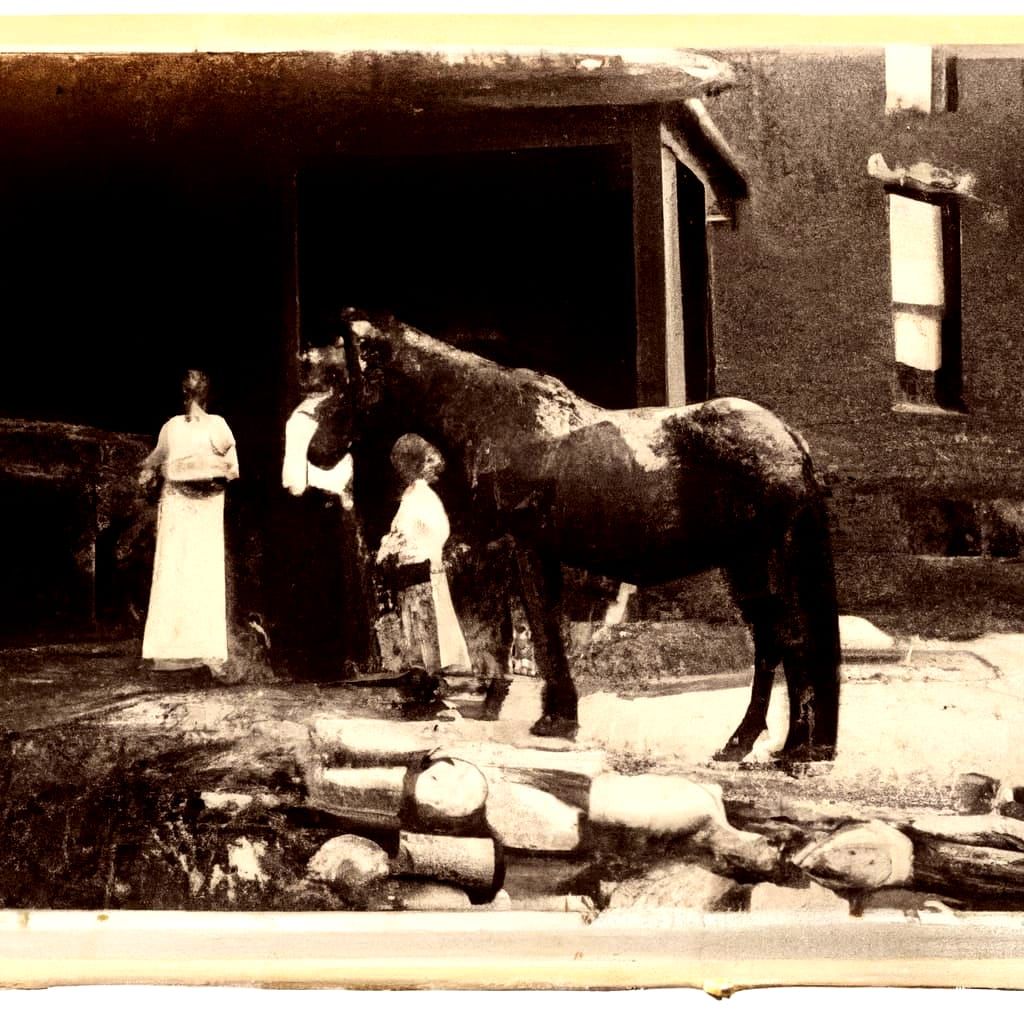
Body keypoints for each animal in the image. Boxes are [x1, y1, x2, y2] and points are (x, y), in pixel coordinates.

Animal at [285, 311, 842, 762]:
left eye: (339, 380)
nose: (316, 453)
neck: (492, 418)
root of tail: (789, 441)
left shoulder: (518, 548)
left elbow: (532, 627)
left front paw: (553, 718)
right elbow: (518, 627)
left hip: (756, 561)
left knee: (784, 640)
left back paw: (769, 745)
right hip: (754, 565)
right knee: (782, 643)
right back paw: (773, 745)